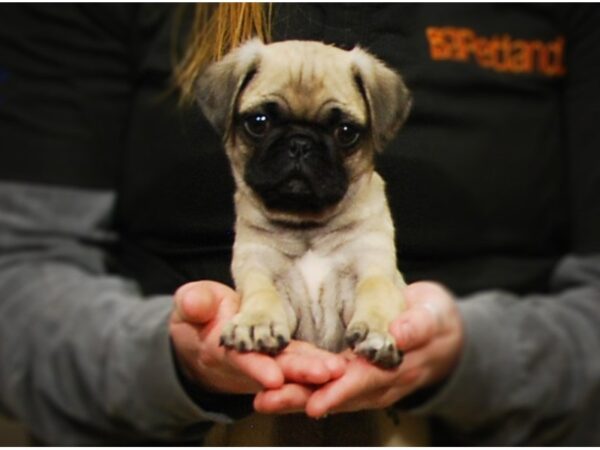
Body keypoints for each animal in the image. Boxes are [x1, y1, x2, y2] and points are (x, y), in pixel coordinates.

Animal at [197, 39, 412, 370]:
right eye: (258, 123)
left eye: (345, 132)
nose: (300, 143)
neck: (308, 226)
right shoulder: (260, 268)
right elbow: (263, 295)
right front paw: (257, 323)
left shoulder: (370, 266)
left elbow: (376, 293)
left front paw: (377, 330)